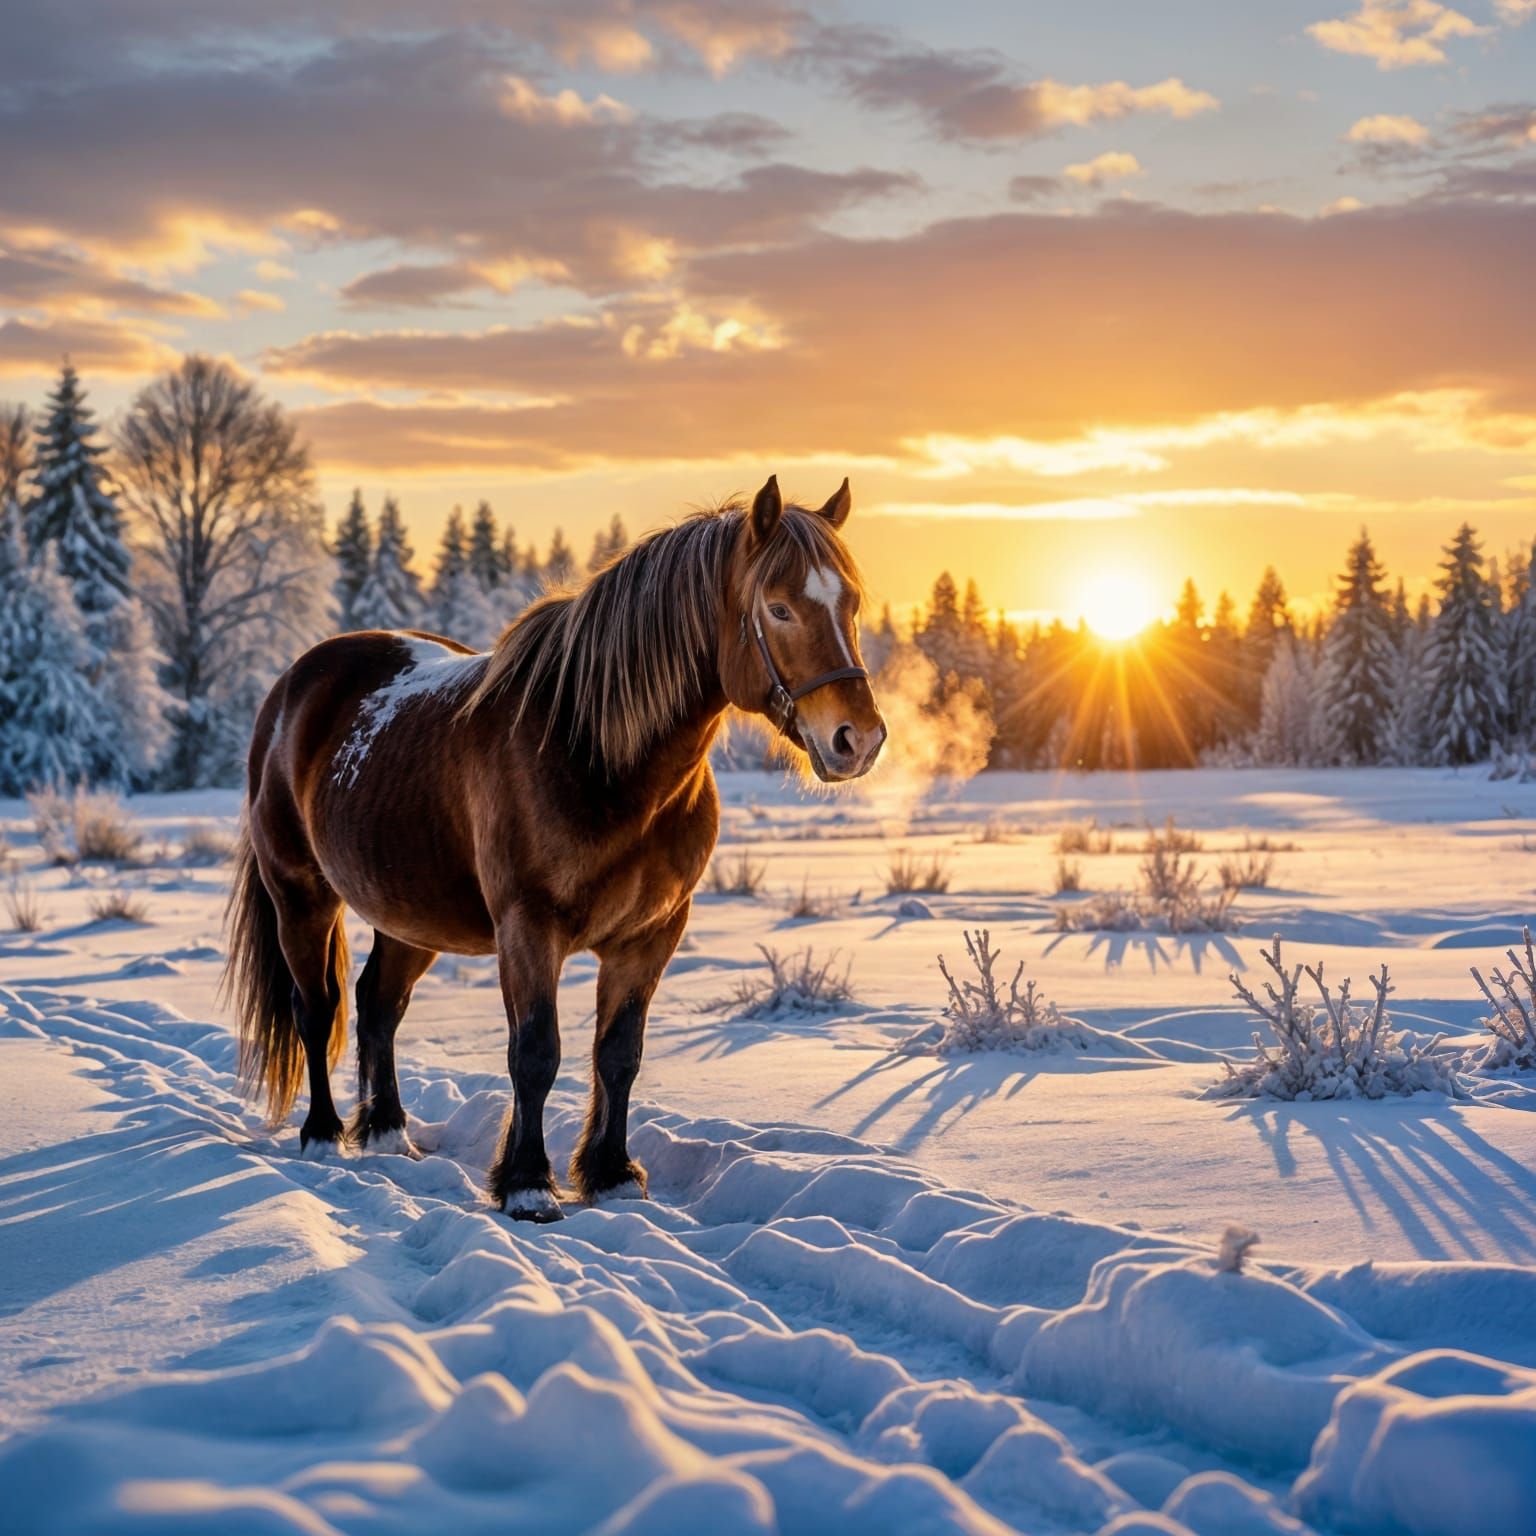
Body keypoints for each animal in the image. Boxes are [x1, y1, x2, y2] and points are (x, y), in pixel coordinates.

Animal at [221, 475, 886, 1221]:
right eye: (777, 607)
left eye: (851, 603)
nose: (858, 739)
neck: (595, 753)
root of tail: (295, 687)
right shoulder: (528, 927)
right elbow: (535, 1053)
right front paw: (529, 1185)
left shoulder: (649, 935)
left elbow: (618, 1053)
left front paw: (611, 1172)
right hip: (301, 896)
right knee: (318, 1009)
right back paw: (323, 1134)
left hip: (409, 914)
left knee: (378, 1005)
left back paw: (389, 1133)